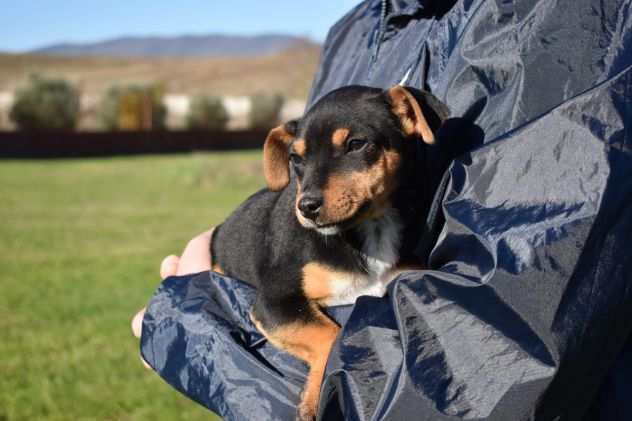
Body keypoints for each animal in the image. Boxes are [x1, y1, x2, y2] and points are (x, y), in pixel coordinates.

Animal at [212, 85, 450, 420]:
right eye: (295, 158)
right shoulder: (274, 301)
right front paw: (313, 400)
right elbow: (328, 334)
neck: (369, 231)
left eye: (356, 144)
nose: (306, 207)